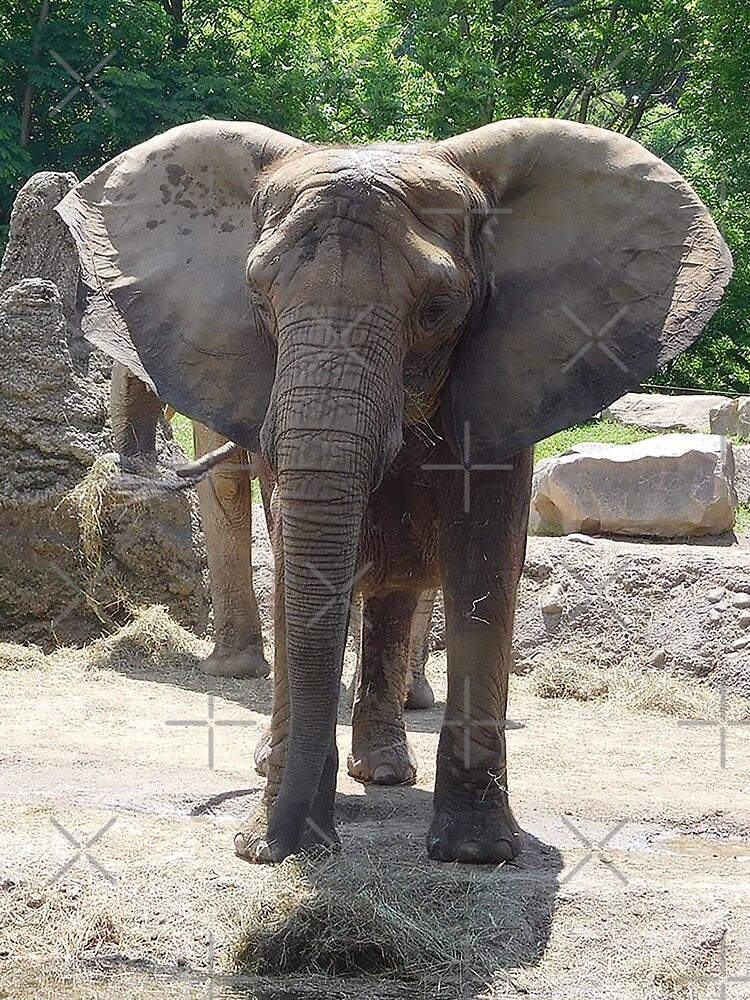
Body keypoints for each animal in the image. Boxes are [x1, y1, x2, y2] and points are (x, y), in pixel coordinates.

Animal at [57, 116, 731, 864]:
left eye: (438, 309)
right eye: (258, 298)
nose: (275, 848)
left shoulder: (508, 381)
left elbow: (484, 565)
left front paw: (475, 855)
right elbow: (299, 560)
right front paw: (277, 838)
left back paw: (381, 770)